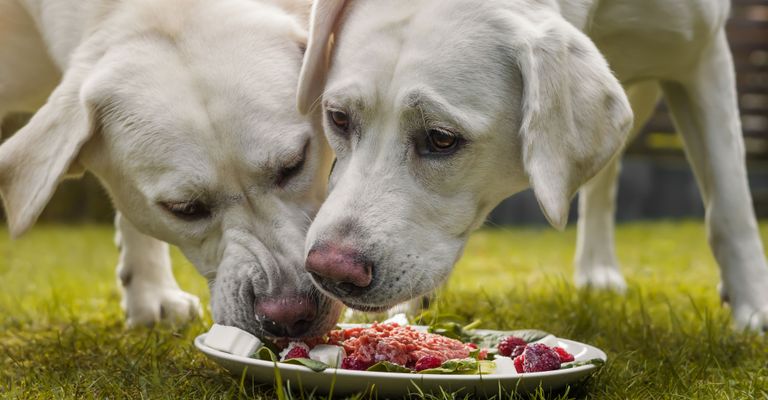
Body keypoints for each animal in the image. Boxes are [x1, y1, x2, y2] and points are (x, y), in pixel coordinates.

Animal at [296, 0, 768, 332]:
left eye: (442, 139)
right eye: (338, 118)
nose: (330, 271)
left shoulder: (703, 57)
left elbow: (729, 203)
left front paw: (754, 309)